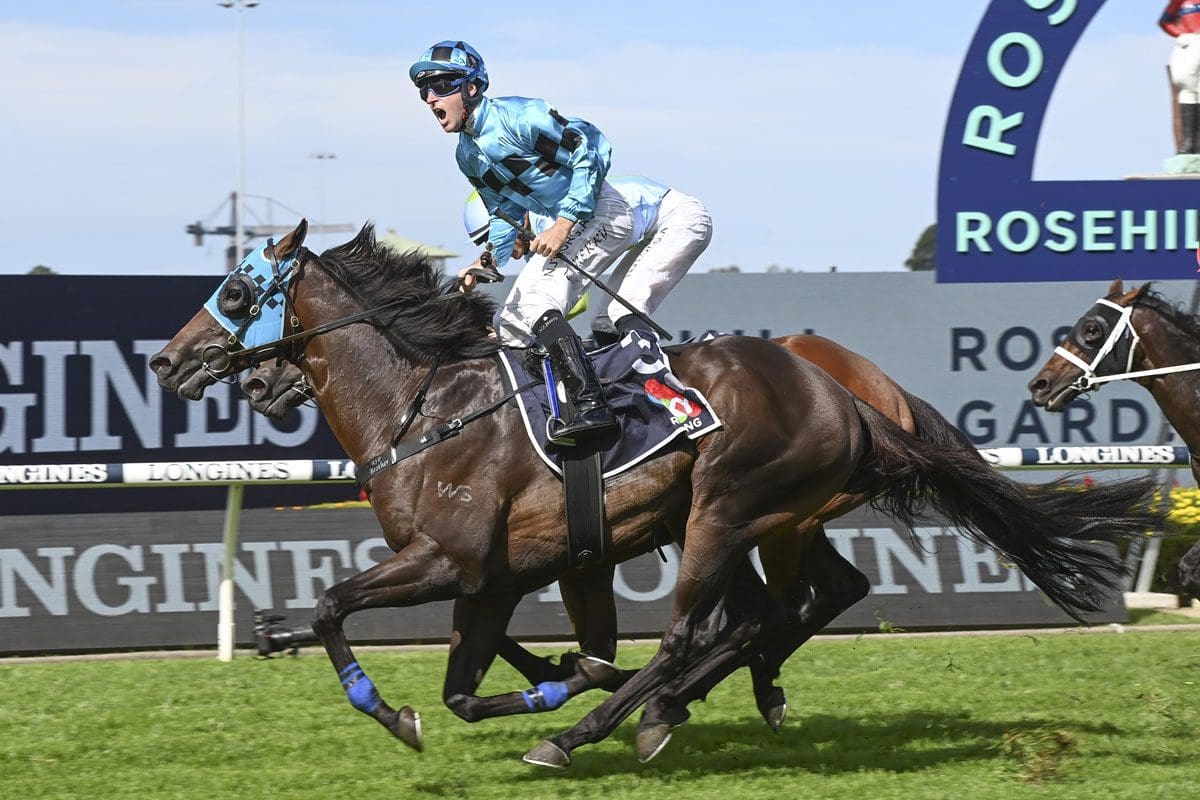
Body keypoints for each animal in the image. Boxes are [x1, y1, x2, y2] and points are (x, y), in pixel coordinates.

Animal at [152, 225, 1161, 767]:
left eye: (238, 288)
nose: (167, 360)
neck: (425, 408)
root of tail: (848, 394)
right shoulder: (505, 577)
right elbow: (468, 688)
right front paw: (541, 681)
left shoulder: (450, 562)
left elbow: (335, 606)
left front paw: (395, 710)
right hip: (763, 519)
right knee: (780, 608)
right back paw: (667, 706)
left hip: (726, 508)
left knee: (701, 630)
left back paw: (603, 727)